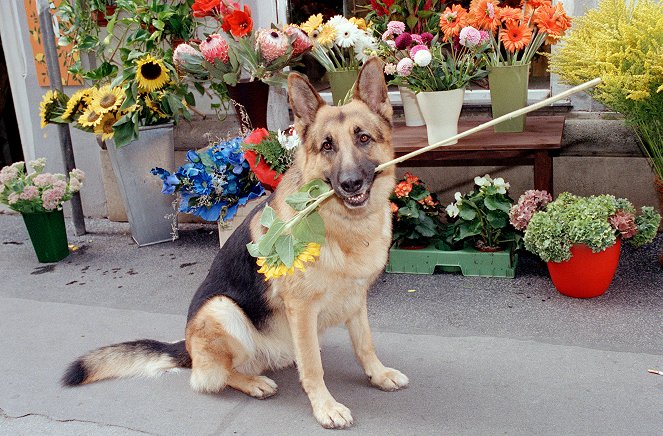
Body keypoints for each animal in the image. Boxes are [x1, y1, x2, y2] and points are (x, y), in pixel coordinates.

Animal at [63, 58, 404, 430]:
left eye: (363, 138)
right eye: (327, 146)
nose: (350, 183)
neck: (341, 226)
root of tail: (187, 347)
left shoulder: (356, 299)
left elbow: (365, 345)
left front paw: (378, 375)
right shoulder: (301, 309)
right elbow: (313, 368)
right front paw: (325, 406)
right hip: (223, 310)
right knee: (211, 377)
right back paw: (253, 382)